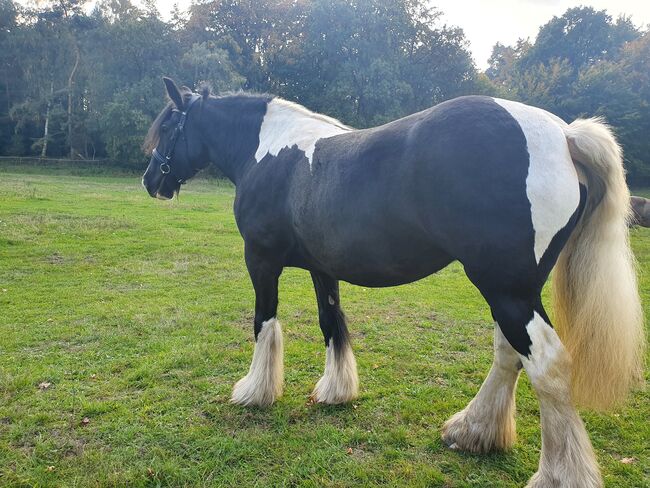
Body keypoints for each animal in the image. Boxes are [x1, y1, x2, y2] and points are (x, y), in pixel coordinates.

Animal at [143, 78, 644, 486]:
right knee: (509, 354)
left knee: (547, 365)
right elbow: (331, 324)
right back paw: (473, 431)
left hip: (508, 291)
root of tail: (563, 136)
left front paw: (254, 393)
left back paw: (559, 474)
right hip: (512, 291)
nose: (151, 182)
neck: (270, 152)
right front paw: (336, 391)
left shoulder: (261, 262)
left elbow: (264, 323)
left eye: (167, 130)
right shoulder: (323, 268)